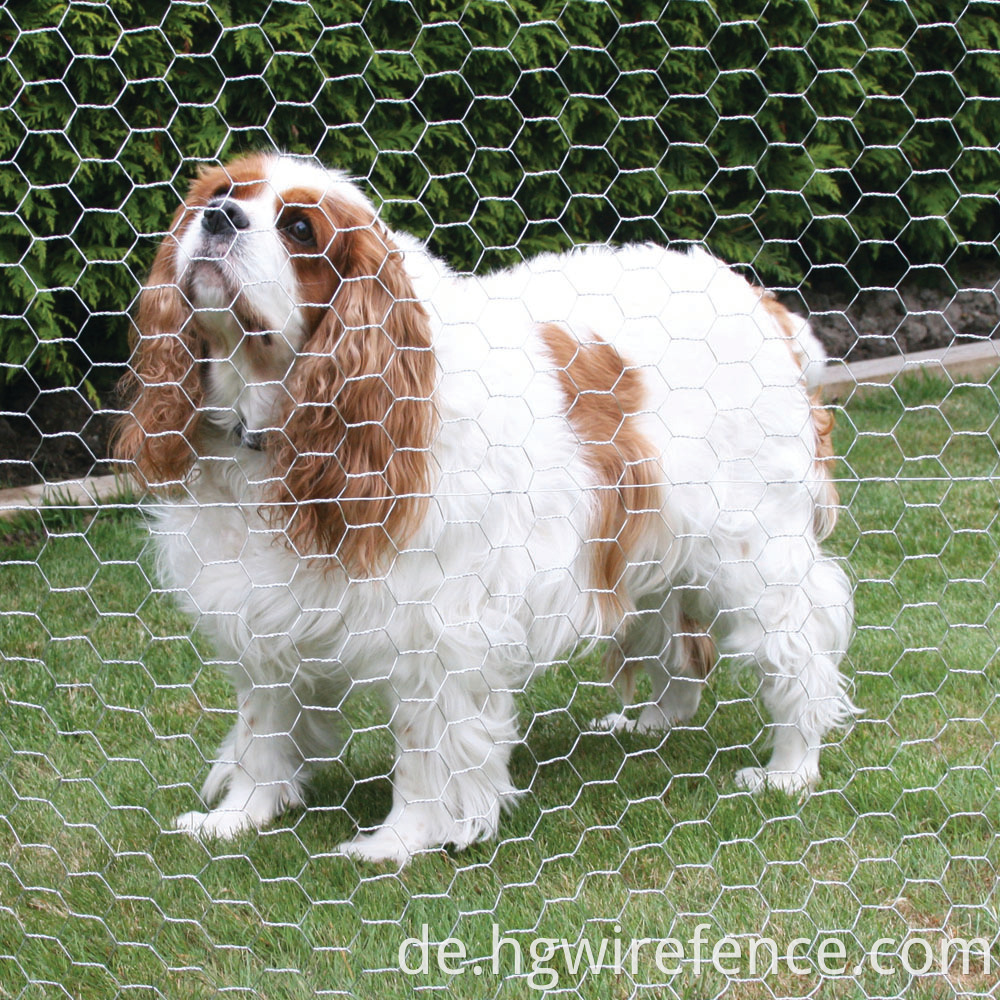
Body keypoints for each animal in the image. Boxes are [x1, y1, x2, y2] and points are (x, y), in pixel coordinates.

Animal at [113, 152, 856, 864]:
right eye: (220, 194)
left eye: (299, 228)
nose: (221, 219)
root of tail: (765, 305)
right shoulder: (260, 615)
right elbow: (262, 732)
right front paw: (238, 817)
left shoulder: (436, 633)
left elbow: (425, 753)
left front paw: (400, 841)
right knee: (681, 646)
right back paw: (656, 721)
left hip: (755, 558)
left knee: (802, 651)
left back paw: (790, 768)